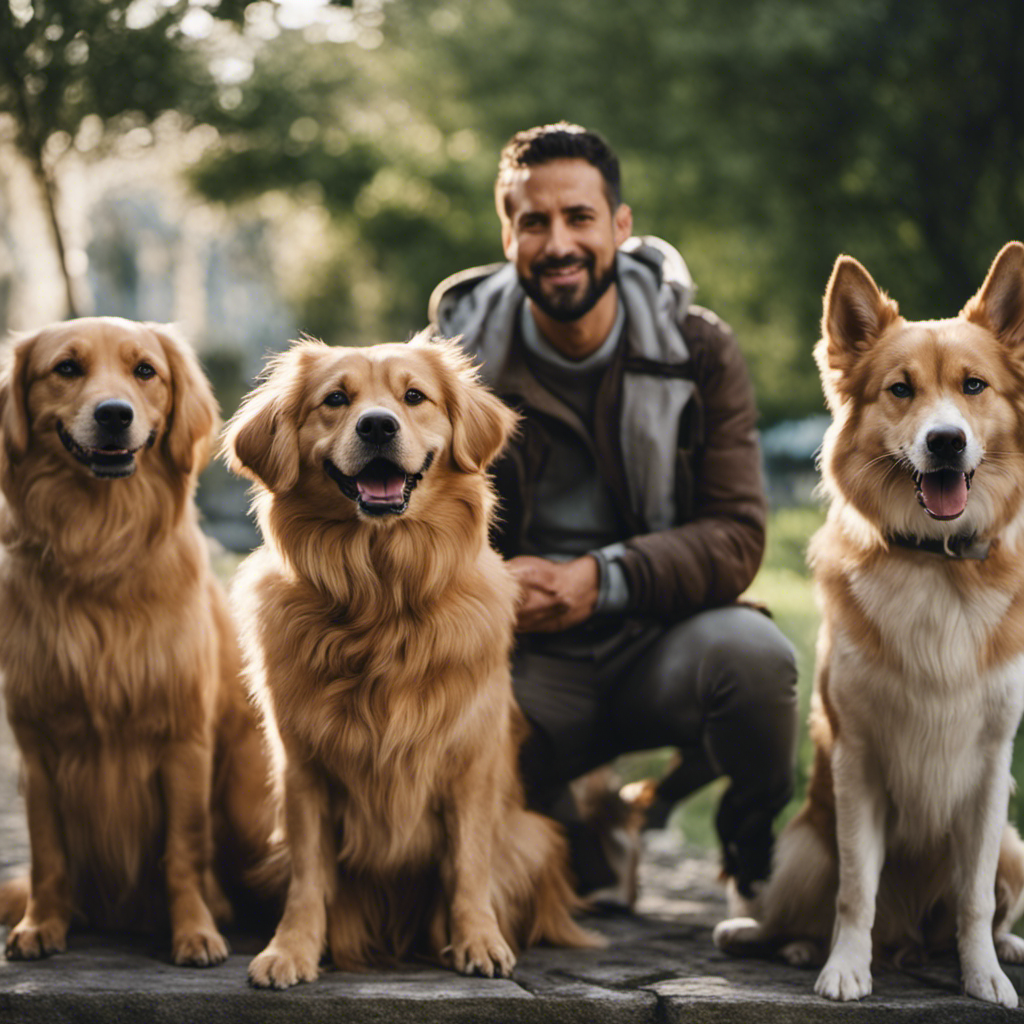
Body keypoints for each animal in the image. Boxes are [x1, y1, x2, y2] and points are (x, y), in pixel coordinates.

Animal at [0, 319, 280, 966]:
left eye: (145, 371)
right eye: (67, 368)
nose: (113, 414)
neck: (99, 547)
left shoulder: (182, 738)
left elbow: (182, 851)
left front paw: (195, 932)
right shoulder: (37, 744)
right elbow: (48, 851)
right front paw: (41, 924)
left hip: (247, 796)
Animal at [220, 331, 598, 987]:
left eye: (414, 396)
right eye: (336, 399)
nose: (377, 425)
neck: (381, 600)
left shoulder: (469, 762)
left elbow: (467, 864)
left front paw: (478, 941)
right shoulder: (303, 768)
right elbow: (309, 876)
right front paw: (291, 949)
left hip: (532, 838)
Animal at [712, 243, 1024, 1003]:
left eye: (974, 386)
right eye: (900, 390)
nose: (946, 442)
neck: (936, 564)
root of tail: (906, 942)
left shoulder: (990, 772)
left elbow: (975, 898)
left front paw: (984, 975)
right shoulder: (859, 760)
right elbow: (856, 888)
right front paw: (845, 967)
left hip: (1015, 845)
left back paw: (998, 946)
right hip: (799, 847)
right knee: (794, 909)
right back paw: (779, 941)